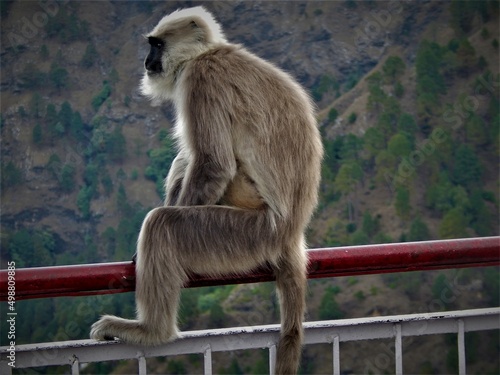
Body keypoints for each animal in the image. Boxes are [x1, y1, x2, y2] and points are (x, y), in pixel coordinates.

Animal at [90, 6, 322, 375]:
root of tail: (290, 231)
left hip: (245, 232)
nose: (147, 62)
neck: (209, 52)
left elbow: (214, 165)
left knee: (164, 222)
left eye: (157, 45)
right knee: (184, 160)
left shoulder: (201, 78)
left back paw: (152, 331)